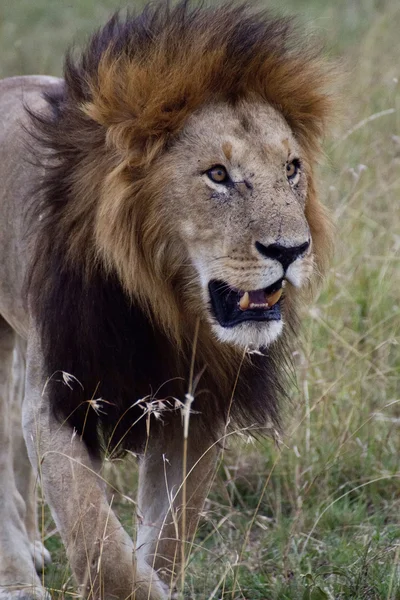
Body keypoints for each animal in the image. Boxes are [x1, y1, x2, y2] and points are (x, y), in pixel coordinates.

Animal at [0, 2, 332, 596]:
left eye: (292, 168)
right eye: (218, 175)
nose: (291, 250)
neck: (167, 308)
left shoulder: (193, 407)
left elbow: (170, 536)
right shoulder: (59, 395)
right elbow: (100, 545)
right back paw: (17, 579)